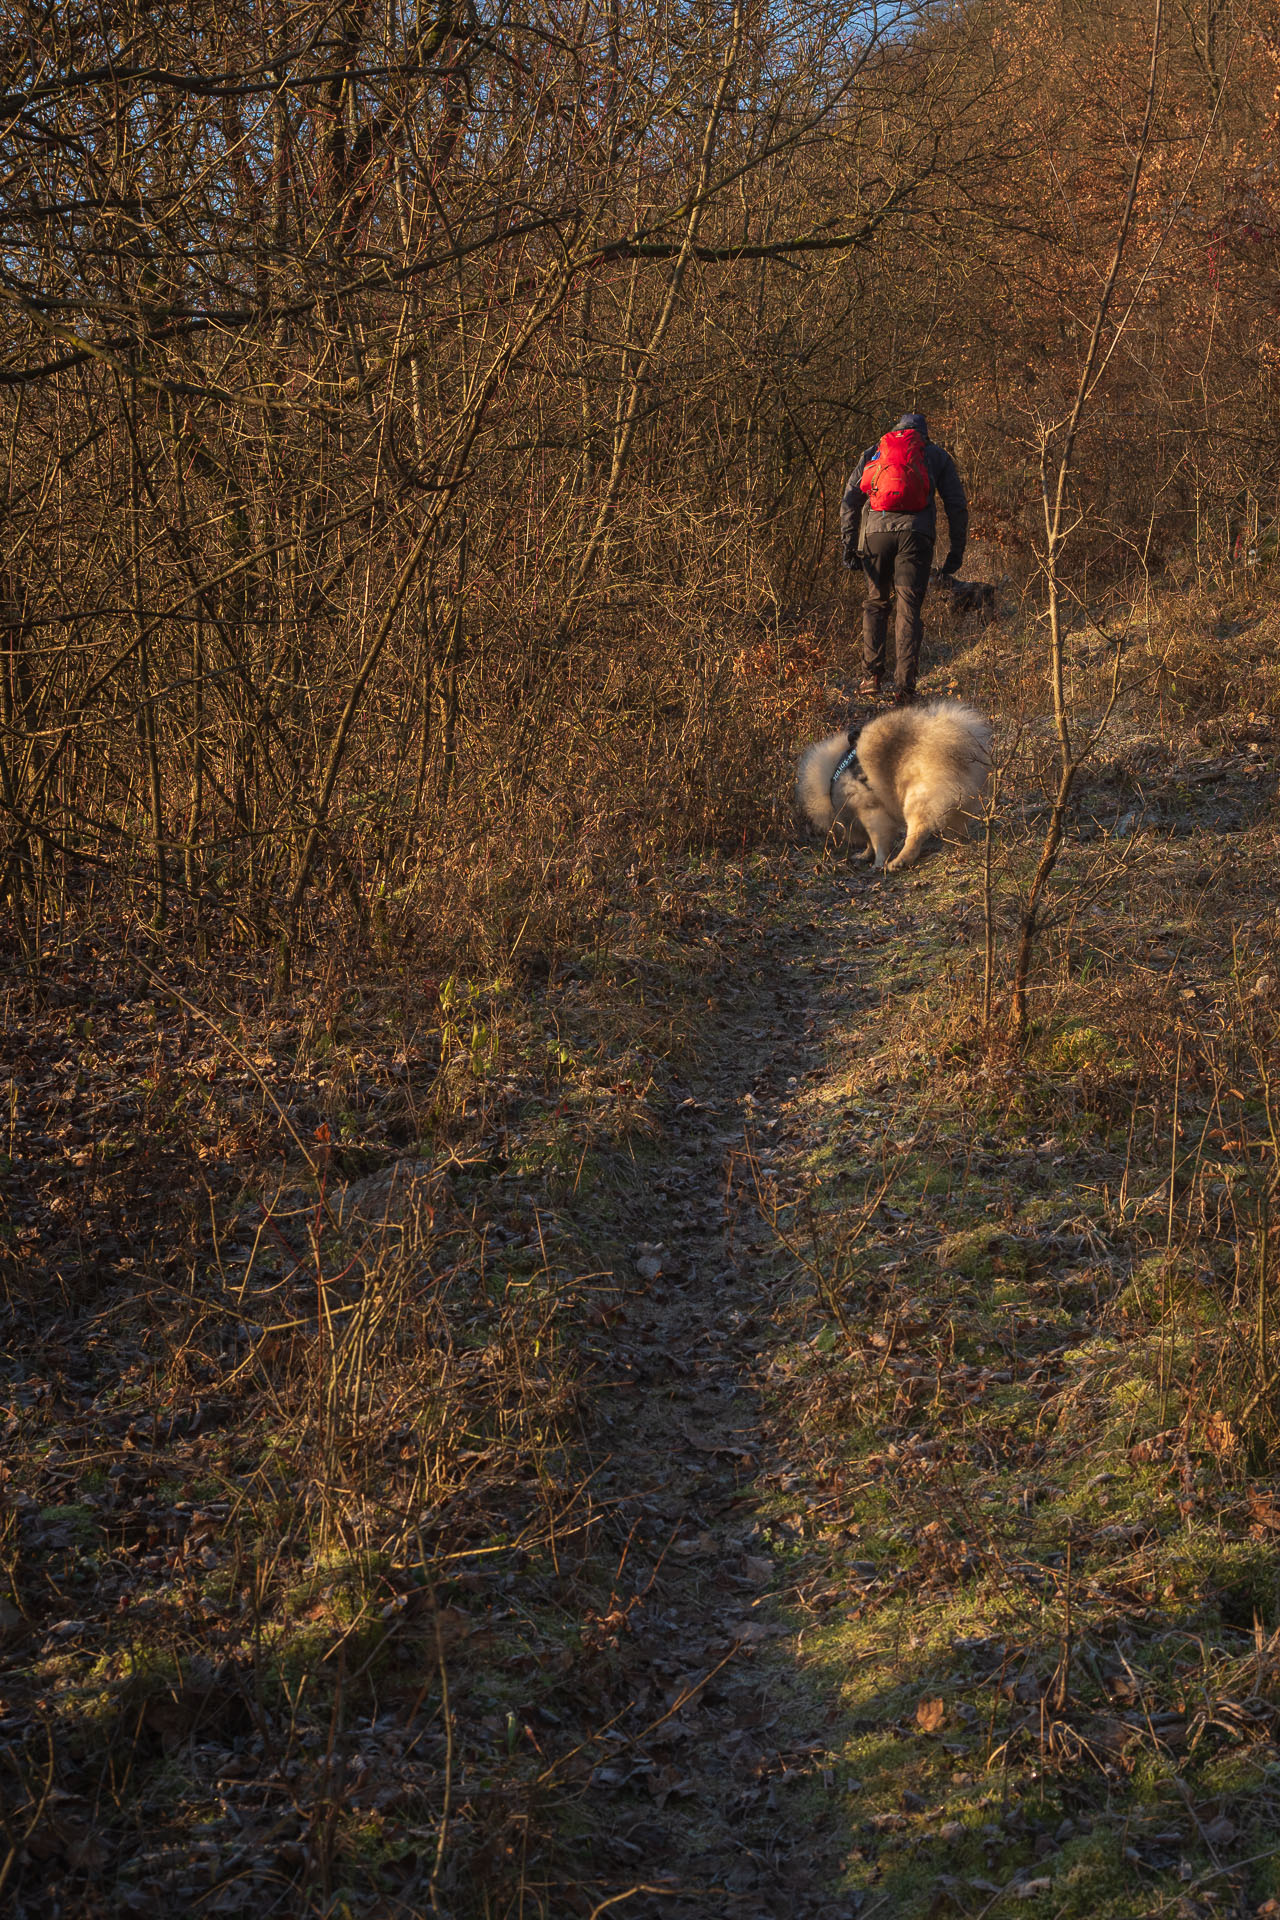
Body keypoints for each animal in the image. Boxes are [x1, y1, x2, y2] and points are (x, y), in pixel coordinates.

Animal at [794, 702, 997, 875]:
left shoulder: (870, 811)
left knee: (916, 833)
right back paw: (955, 846)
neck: (833, 773)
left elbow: (878, 841)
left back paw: (900, 861)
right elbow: (870, 842)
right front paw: (865, 854)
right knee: (956, 828)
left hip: (916, 799)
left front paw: (878, 862)